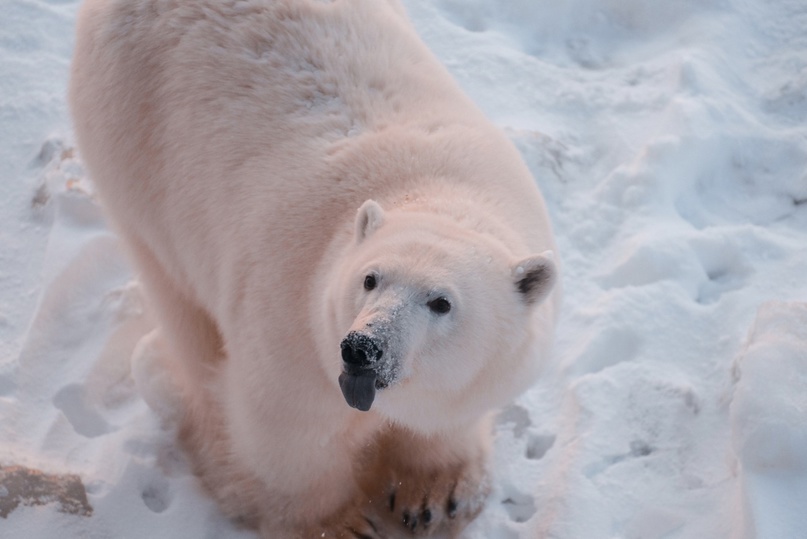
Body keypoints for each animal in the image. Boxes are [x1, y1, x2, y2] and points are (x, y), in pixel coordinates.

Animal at [69, 0, 560, 536]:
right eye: (370, 278)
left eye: (441, 302)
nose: (363, 348)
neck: (428, 187)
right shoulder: (293, 319)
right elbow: (288, 431)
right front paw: (341, 523)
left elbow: (449, 415)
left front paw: (436, 491)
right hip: (133, 144)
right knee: (180, 306)